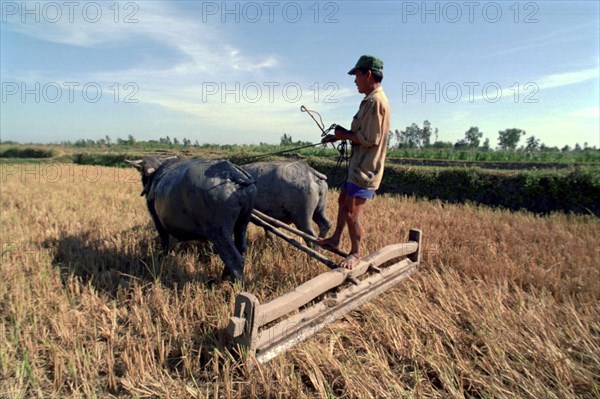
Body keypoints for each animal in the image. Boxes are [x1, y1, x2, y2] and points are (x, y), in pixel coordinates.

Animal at [126, 155, 258, 282]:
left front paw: (162, 261)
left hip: (219, 231)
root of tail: (233, 175)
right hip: (242, 222)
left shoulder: (157, 220)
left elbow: (165, 244)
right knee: (241, 248)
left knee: (235, 259)